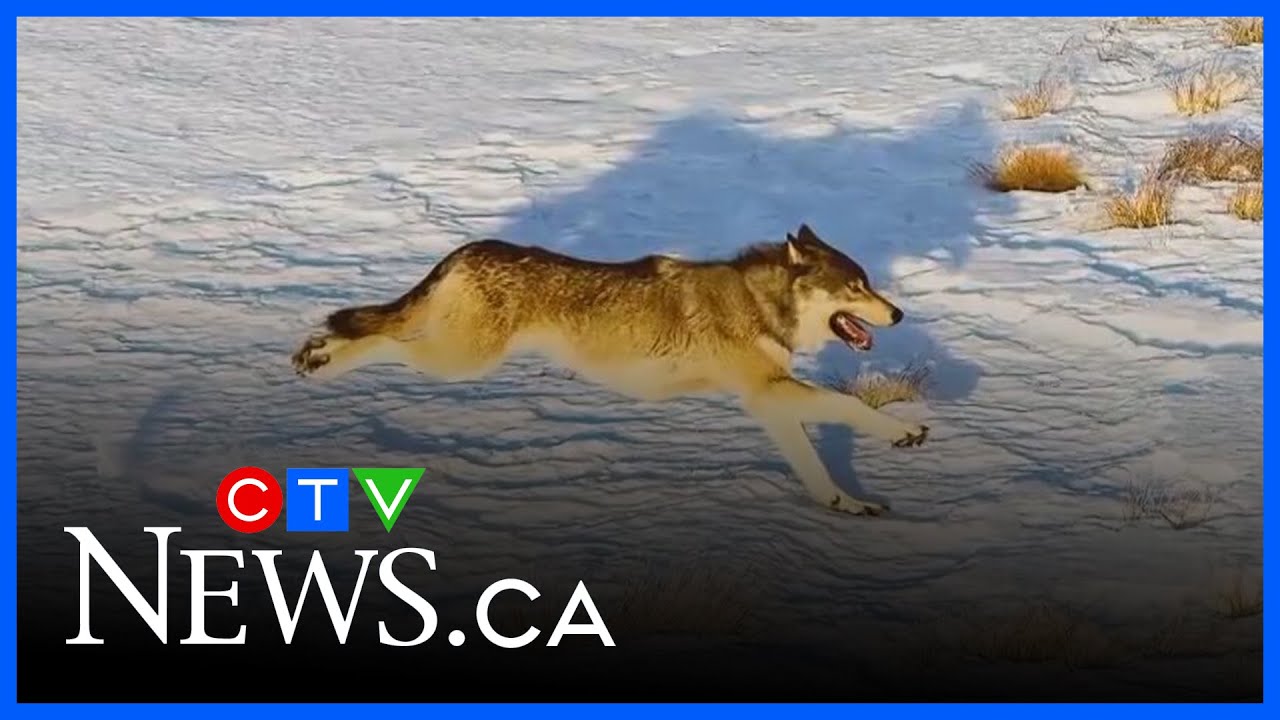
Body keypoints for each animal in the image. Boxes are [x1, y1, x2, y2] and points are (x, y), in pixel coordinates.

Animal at [292, 224, 928, 515]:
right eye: (856, 287)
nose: (898, 313)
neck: (759, 303)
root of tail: (470, 248)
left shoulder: (769, 401)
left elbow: (814, 468)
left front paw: (846, 505)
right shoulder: (767, 391)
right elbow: (848, 404)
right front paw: (906, 432)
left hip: (454, 353)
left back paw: (315, 352)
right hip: (458, 359)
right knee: (376, 338)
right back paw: (321, 359)